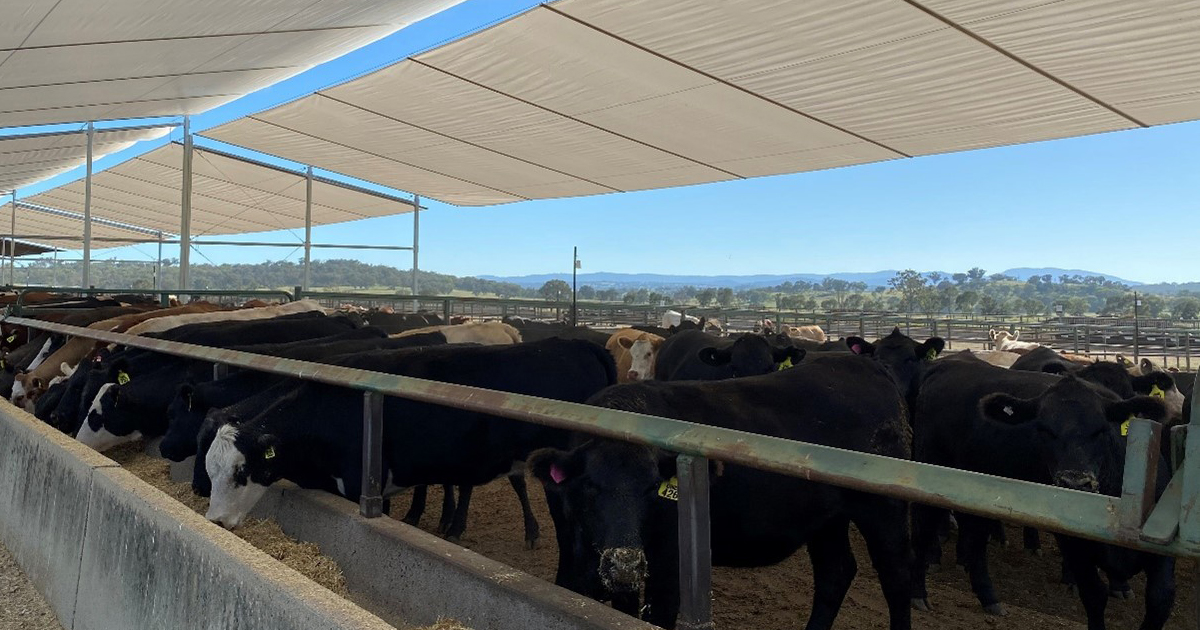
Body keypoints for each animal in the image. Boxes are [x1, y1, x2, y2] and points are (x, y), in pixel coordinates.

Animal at [530, 352, 912, 628]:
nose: (625, 562)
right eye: (589, 486)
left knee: (896, 580)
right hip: (826, 520)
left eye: (653, 488)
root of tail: (864, 364)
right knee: (836, 573)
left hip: (885, 511)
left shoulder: (667, 568)